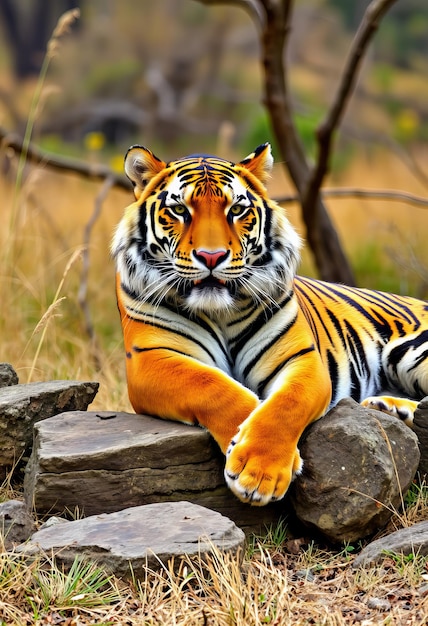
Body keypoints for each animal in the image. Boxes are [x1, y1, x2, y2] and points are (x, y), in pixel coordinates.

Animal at [113, 141, 428, 502]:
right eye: (180, 210)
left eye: (236, 210)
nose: (211, 257)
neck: (219, 310)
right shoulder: (149, 360)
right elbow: (213, 386)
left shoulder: (302, 358)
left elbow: (285, 404)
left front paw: (259, 471)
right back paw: (387, 407)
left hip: (411, 351)